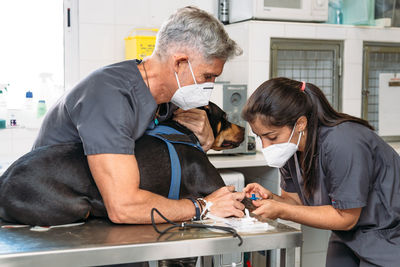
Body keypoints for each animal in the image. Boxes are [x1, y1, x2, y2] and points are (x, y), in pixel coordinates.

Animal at [0, 102, 245, 226]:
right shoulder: (216, 186)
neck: (181, 130)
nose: (244, 128)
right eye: (224, 117)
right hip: (78, 205)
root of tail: (4, 179)